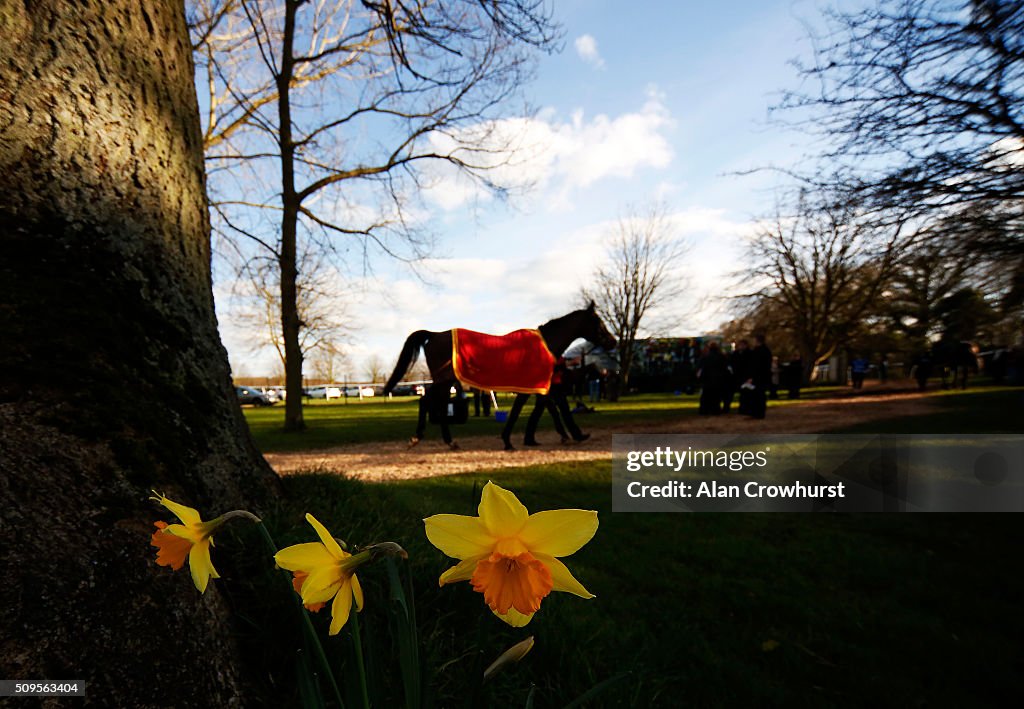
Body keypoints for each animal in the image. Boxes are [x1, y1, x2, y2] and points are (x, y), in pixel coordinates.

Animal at [380, 303, 610, 448]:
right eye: (599, 322)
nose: (613, 341)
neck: (545, 344)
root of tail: (434, 335)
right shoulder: (537, 384)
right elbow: (548, 408)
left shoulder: (537, 387)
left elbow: (542, 408)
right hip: (444, 380)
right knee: (428, 401)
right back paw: (432, 439)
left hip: (444, 381)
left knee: (432, 402)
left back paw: (438, 439)